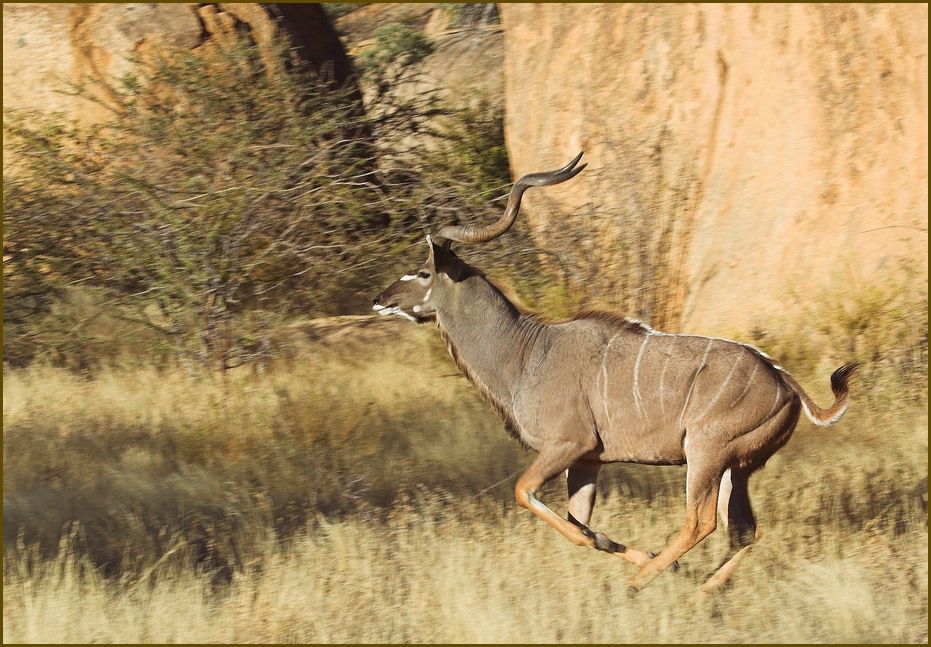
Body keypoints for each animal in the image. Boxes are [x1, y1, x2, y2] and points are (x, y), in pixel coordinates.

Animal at [372, 151, 860, 592]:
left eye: (422, 272)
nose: (380, 299)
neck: (525, 353)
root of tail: (785, 382)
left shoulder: (568, 444)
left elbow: (529, 496)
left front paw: (642, 562)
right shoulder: (588, 460)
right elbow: (579, 521)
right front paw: (630, 551)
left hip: (706, 453)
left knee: (701, 522)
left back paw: (643, 583)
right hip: (736, 469)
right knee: (744, 530)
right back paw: (702, 590)